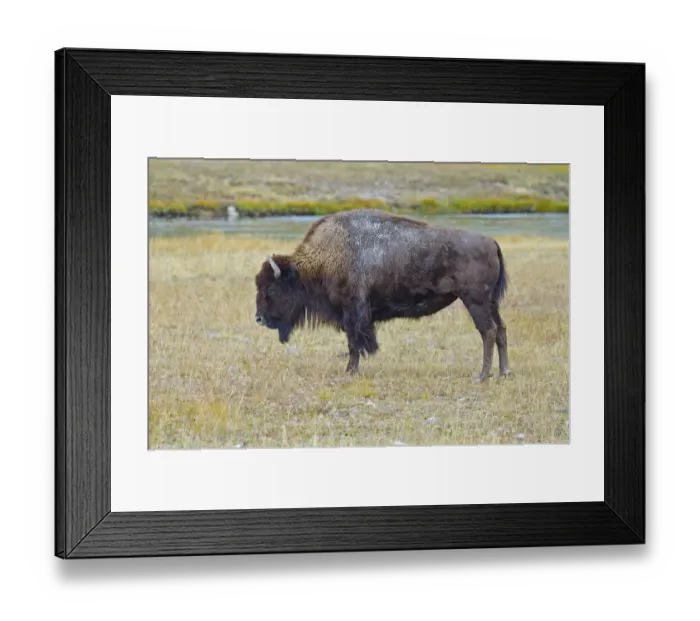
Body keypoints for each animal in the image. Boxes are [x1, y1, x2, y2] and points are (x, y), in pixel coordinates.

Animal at [254, 208, 511, 382]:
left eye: (271, 289)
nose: (258, 318)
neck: (324, 258)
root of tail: (492, 242)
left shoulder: (353, 312)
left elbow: (354, 343)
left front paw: (350, 370)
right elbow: (353, 343)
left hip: (475, 301)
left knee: (488, 331)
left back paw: (482, 375)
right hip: (491, 303)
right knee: (501, 330)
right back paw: (503, 372)